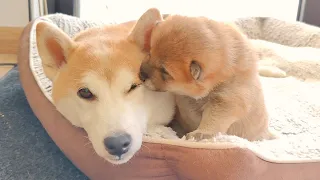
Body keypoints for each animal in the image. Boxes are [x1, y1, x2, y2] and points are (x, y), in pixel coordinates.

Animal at [136, 8, 276, 141]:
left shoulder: (227, 99)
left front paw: (200, 134)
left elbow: (214, 119)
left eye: (165, 71)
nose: (141, 74)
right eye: (150, 53)